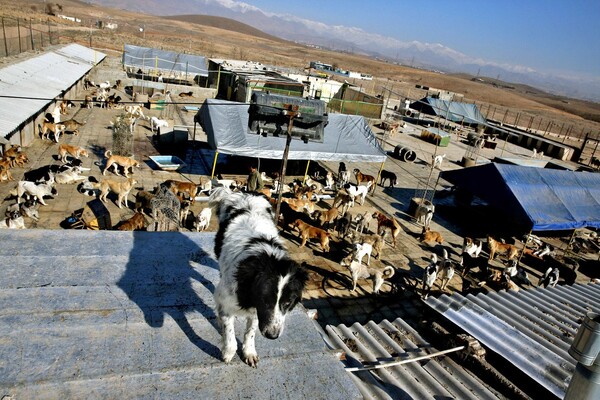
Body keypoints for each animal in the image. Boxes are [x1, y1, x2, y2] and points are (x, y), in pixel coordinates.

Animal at [209, 186, 308, 368]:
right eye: (265, 300)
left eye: (288, 303)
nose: (272, 335)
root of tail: (244, 192)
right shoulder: (229, 299)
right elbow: (229, 330)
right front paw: (228, 352)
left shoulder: (256, 310)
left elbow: (250, 331)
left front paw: (249, 352)